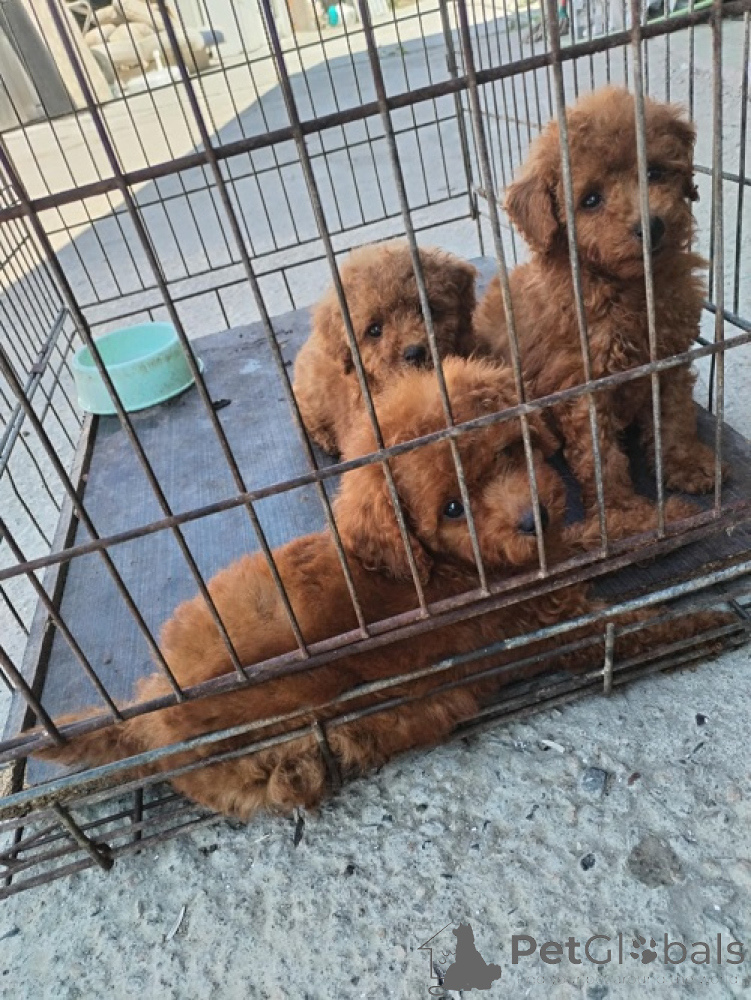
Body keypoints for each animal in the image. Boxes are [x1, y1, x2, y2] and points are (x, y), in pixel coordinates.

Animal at [37, 359, 732, 821]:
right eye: (452, 508)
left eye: (510, 451)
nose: (533, 516)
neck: (446, 568)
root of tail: (148, 719)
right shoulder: (557, 623)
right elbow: (629, 626)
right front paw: (708, 620)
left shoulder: (555, 557)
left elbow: (600, 535)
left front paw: (675, 521)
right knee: (290, 774)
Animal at [474, 86, 725, 520]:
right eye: (590, 200)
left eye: (655, 172)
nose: (650, 226)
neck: (629, 289)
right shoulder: (583, 385)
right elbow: (601, 456)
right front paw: (624, 512)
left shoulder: (669, 359)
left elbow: (675, 416)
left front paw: (686, 464)